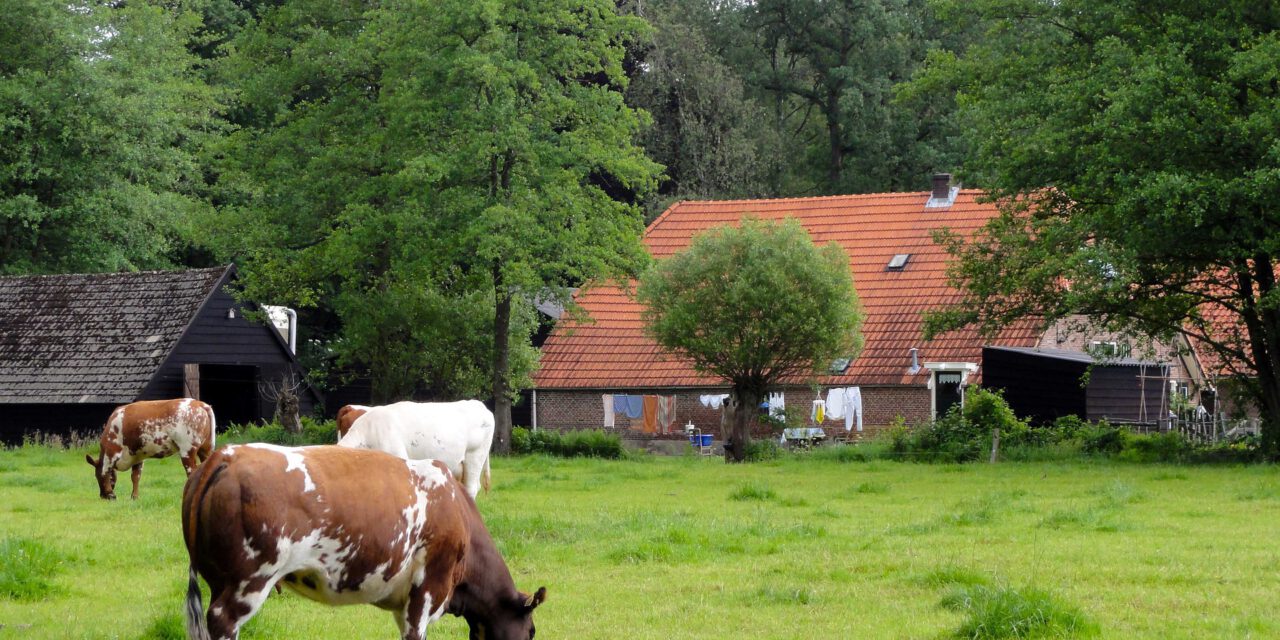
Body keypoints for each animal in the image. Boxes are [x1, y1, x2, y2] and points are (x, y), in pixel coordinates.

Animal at [86, 399, 215, 499]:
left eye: (96, 476)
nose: (102, 496)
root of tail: (200, 404)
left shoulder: (111, 452)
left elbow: (105, 472)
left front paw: (111, 494)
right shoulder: (137, 455)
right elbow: (135, 476)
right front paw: (134, 497)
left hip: (187, 450)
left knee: (192, 471)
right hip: (206, 449)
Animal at [181, 445, 545, 640]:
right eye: (531, 632)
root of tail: (226, 455)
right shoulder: (428, 589)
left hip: (218, 579)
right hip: (248, 581)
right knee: (223, 620)